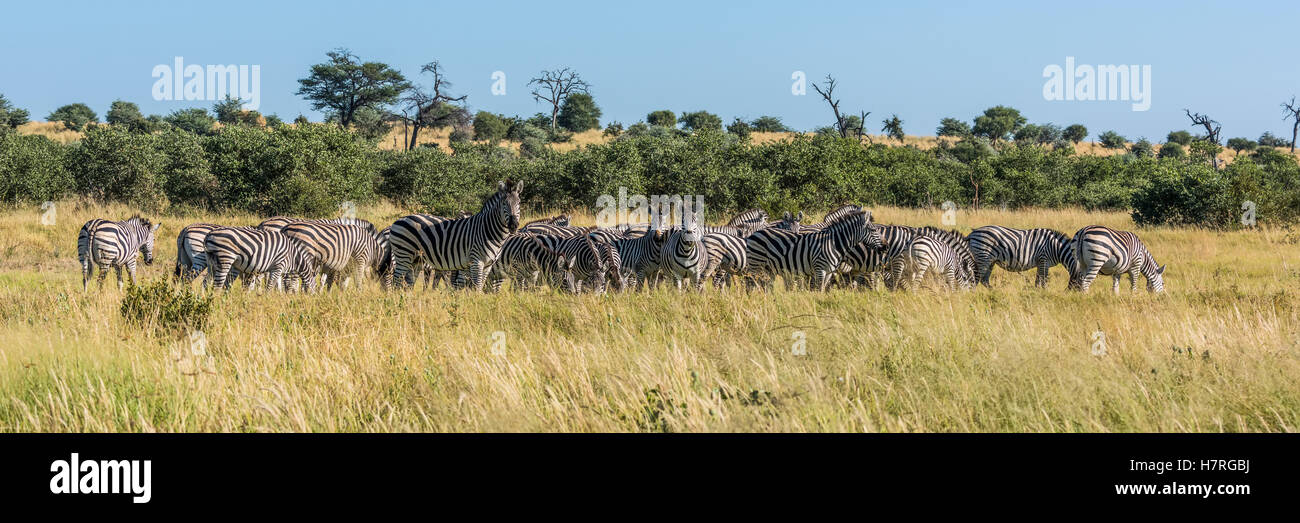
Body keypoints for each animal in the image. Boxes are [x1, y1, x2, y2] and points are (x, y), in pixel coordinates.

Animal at [384, 180, 522, 292]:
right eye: (504, 203)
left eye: (519, 203)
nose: (513, 225)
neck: (487, 230)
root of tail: (398, 220)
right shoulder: (476, 262)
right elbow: (475, 288)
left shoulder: (487, 265)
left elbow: (469, 286)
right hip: (404, 254)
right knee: (397, 281)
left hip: (416, 259)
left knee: (409, 282)